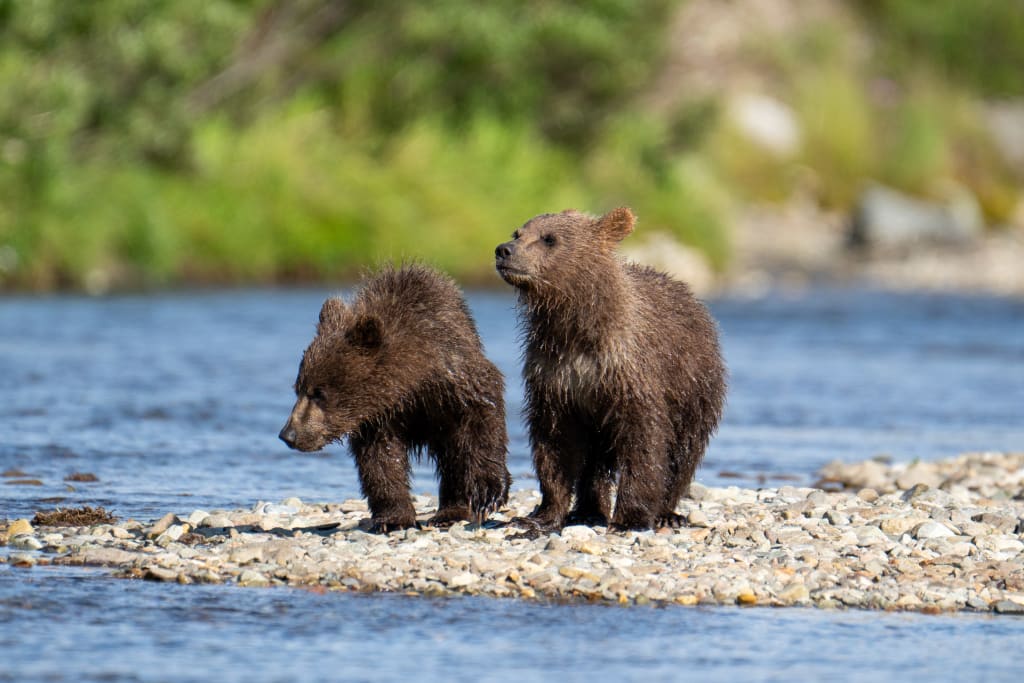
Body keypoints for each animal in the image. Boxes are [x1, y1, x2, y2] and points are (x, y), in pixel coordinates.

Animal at [279, 264, 511, 533]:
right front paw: (393, 518)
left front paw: (488, 493)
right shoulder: (377, 417)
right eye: (298, 388)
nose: (288, 434)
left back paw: (450, 512)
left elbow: (482, 418)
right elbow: (380, 459)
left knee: (457, 453)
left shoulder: (454, 380)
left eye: (319, 393)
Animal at [494, 207, 726, 531]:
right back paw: (588, 510)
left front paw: (632, 517)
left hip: (694, 384)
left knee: (684, 450)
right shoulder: (554, 374)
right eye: (518, 233)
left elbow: (644, 439)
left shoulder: (629, 370)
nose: (504, 250)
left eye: (549, 238)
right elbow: (553, 440)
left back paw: (667, 512)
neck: (575, 326)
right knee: (595, 460)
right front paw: (541, 515)